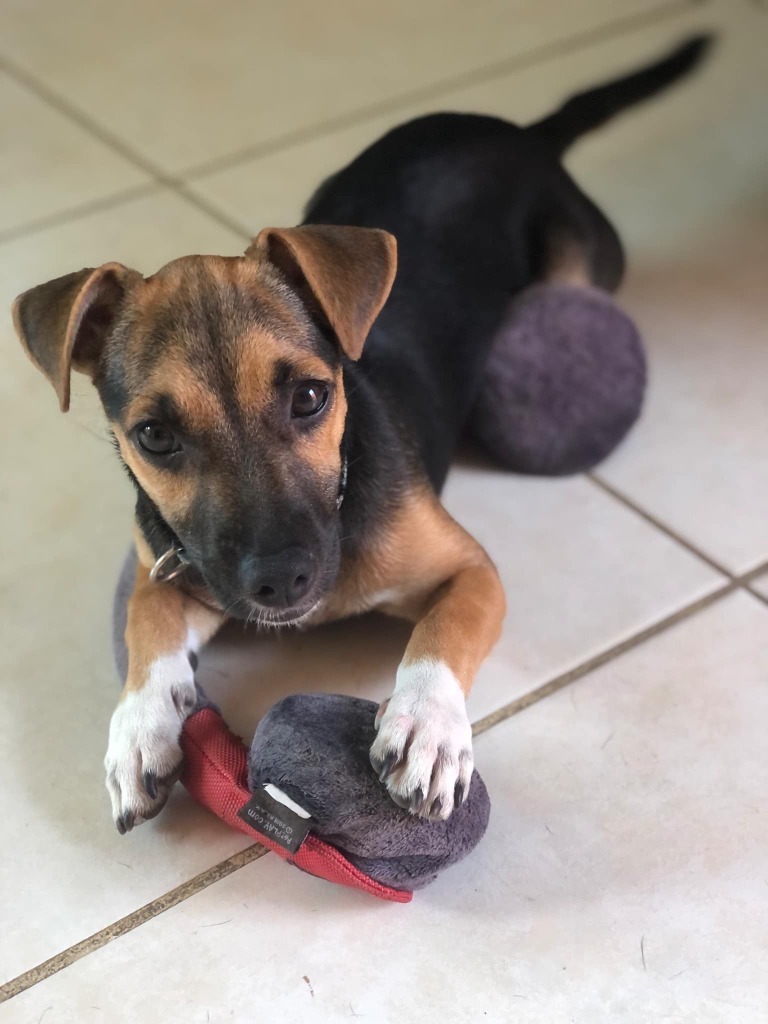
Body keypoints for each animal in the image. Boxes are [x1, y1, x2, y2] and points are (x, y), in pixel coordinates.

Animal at [10, 36, 708, 835]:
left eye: (311, 397)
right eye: (154, 436)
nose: (281, 581)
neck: (342, 490)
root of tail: (520, 132)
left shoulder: (472, 571)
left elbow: (443, 633)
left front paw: (428, 727)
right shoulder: (162, 561)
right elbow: (145, 626)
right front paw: (136, 731)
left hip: (582, 264)